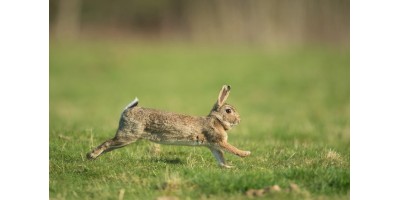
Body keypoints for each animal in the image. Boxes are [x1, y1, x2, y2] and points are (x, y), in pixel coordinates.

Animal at [86, 85, 250, 168]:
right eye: (228, 111)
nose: (239, 120)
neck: (217, 120)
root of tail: (127, 110)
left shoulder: (213, 146)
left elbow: (220, 158)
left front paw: (228, 167)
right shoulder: (219, 141)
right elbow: (231, 149)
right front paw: (246, 153)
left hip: (125, 139)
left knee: (110, 145)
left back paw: (93, 157)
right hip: (128, 135)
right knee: (108, 143)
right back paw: (91, 155)